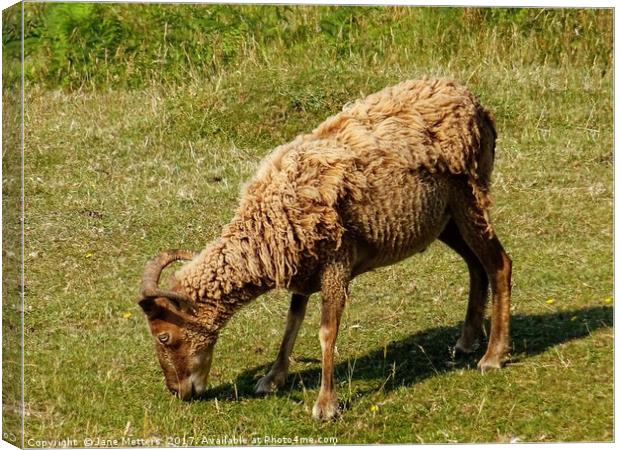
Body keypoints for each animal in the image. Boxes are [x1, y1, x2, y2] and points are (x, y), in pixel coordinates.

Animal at [138, 77, 512, 422]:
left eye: (164, 337)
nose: (179, 391)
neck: (266, 223)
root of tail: (471, 100)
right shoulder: (304, 268)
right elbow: (292, 322)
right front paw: (272, 379)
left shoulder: (336, 264)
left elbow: (326, 332)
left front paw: (325, 405)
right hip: (445, 219)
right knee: (476, 265)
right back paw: (467, 340)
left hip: (469, 197)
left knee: (499, 264)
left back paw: (493, 355)